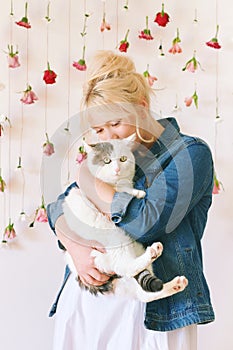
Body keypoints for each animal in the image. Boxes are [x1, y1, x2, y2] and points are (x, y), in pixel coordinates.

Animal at [61, 138, 187, 302]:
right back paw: (153, 253)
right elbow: (120, 190)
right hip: (114, 239)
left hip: (135, 248)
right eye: (106, 160)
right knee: (126, 267)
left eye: (123, 159)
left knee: (143, 292)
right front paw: (136, 192)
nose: (116, 170)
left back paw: (176, 284)